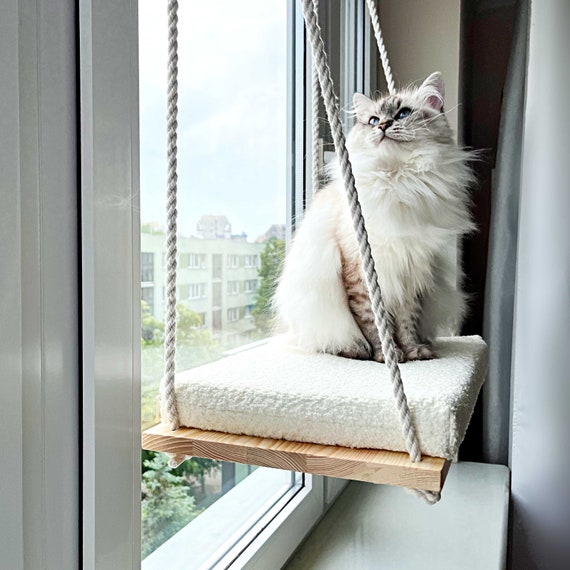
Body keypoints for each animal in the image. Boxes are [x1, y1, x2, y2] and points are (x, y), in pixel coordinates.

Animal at [272, 73, 472, 362]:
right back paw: (354, 350)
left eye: (403, 114)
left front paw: (413, 352)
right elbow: (374, 323)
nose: (385, 126)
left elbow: (407, 323)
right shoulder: (362, 271)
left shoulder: (410, 272)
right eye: (374, 121)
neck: (398, 182)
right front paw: (386, 355)